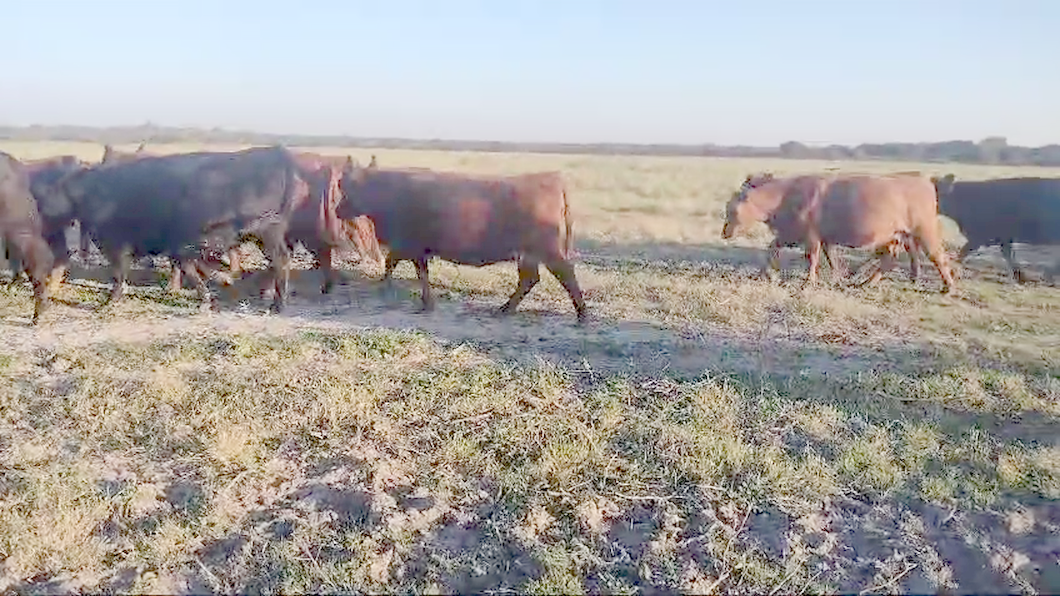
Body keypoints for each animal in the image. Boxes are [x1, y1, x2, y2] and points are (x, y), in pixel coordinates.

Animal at [339, 158, 589, 322]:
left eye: (350, 187)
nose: (337, 209)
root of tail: (550, 177)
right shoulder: (411, 246)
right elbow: (405, 267)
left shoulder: (410, 244)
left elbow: (407, 268)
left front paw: (416, 299)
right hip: (528, 253)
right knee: (530, 279)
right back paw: (506, 309)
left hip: (546, 249)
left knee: (565, 274)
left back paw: (582, 313)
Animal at [725, 171, 958, 292]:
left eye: (731, 209)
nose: (724, 233)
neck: (785, 196)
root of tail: (923, 179)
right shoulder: (798, 234)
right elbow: (775, 248)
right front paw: (766, 274)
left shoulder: (810, 236)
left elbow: (812, 259)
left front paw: (809, 282)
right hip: (895, 236)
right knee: (889, 259)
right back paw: (867, 282)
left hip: (924, 230)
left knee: (937, 256)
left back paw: (948, 287)